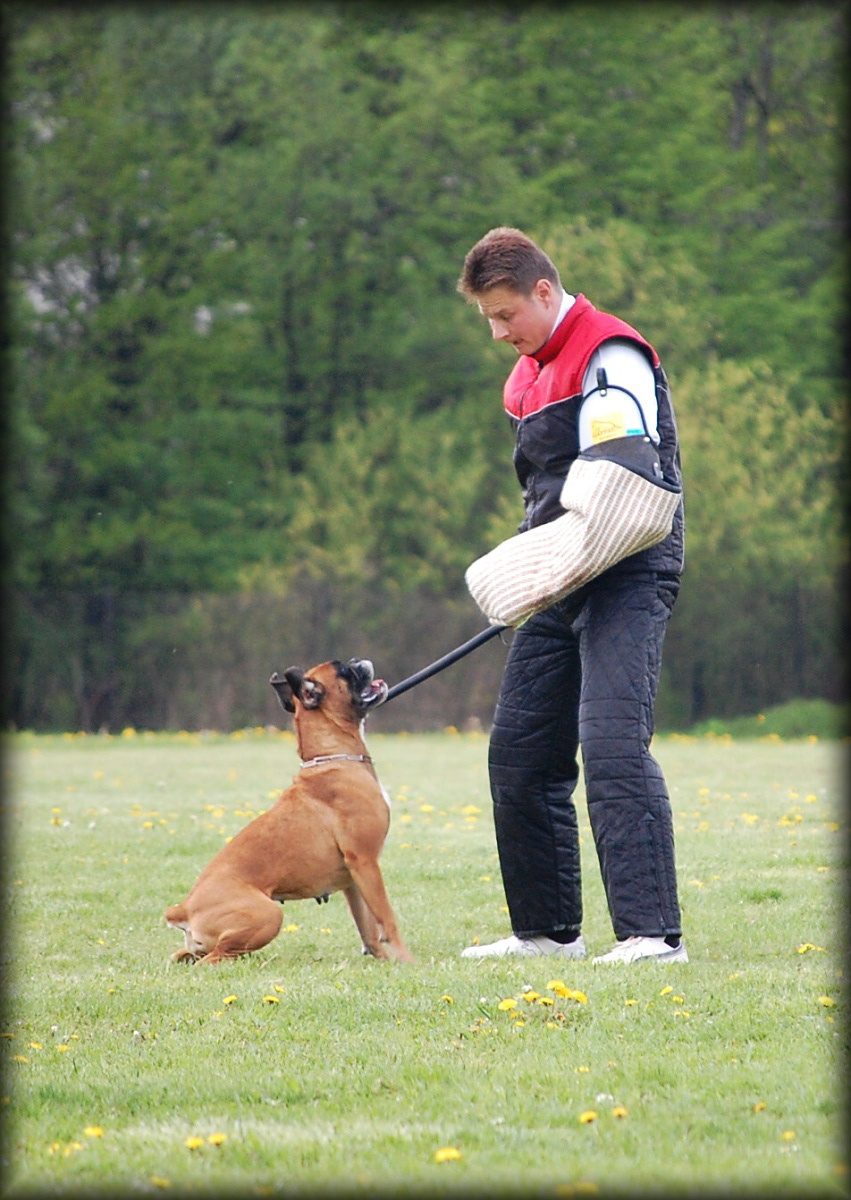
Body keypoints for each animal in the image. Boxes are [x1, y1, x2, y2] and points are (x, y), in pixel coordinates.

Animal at [163, 657, 410, 964]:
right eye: (343, 669)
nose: (357, 660)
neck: (333, 757)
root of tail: (184, 908)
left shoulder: (354, 878)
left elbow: (368, 928)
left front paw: (383, 962)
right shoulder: (365, 862)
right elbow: (387, 918)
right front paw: (407, 961)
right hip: (270, 915)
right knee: (214, 959)